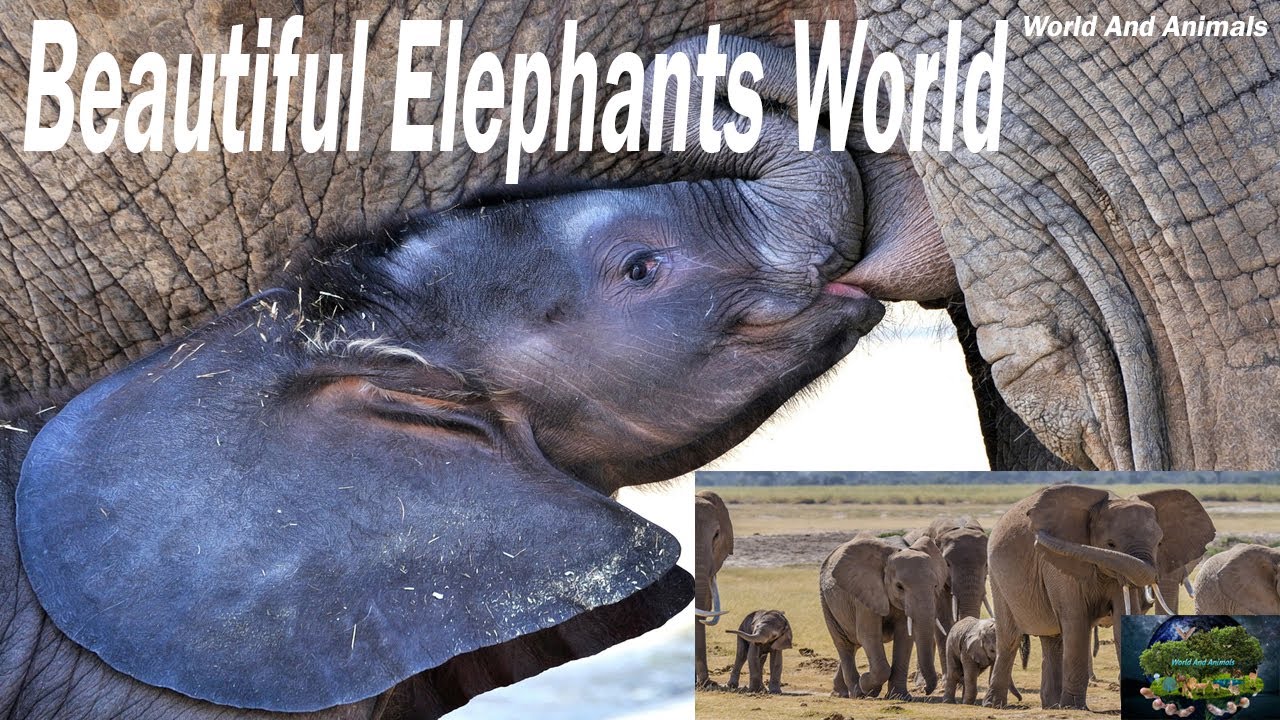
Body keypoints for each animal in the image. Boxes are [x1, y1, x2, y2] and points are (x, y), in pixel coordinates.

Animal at [820, 533, 947, 700]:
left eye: (935, 586)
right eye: (899, 587)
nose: (925, 689)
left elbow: (905, 637)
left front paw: (899, 697)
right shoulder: (865, 592)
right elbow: (869, 636)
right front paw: (867, 686)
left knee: (854, 644)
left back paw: (840, 692)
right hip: (826, 600)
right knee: (844, 644)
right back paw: (856, 692)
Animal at [985, 485, 1216, 710]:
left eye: (1159, 543)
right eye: (1110, 544)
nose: (1037, 538)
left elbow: (1120, 618)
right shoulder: (1058, 565)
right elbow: (1076, 621)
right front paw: (1074, 707)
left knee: (1053, 640)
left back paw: (1051, 705)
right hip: (997, 577)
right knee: (1010, 637)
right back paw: (995, 704)